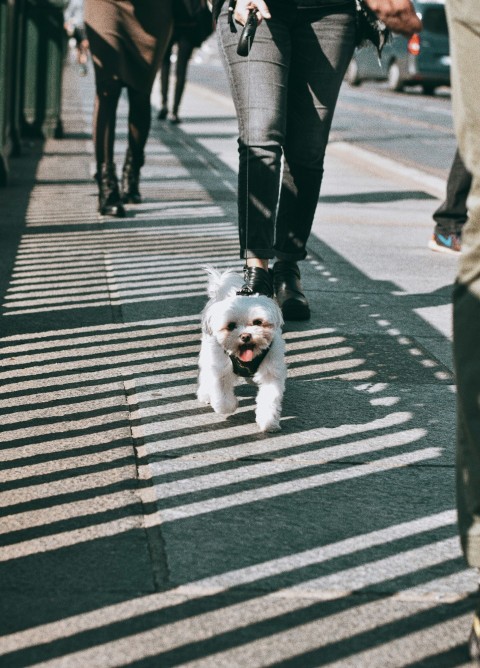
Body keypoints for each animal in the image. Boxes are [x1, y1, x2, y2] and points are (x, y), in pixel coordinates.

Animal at [198, 266, 286, 434]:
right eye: (231, 326)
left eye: (257, 322)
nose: (245, 336)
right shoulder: (220, 368)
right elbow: (221, 395)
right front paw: (229, 406)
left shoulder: (271, 371)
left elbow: (269, 397)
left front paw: (268, 421)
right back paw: (205, 394)